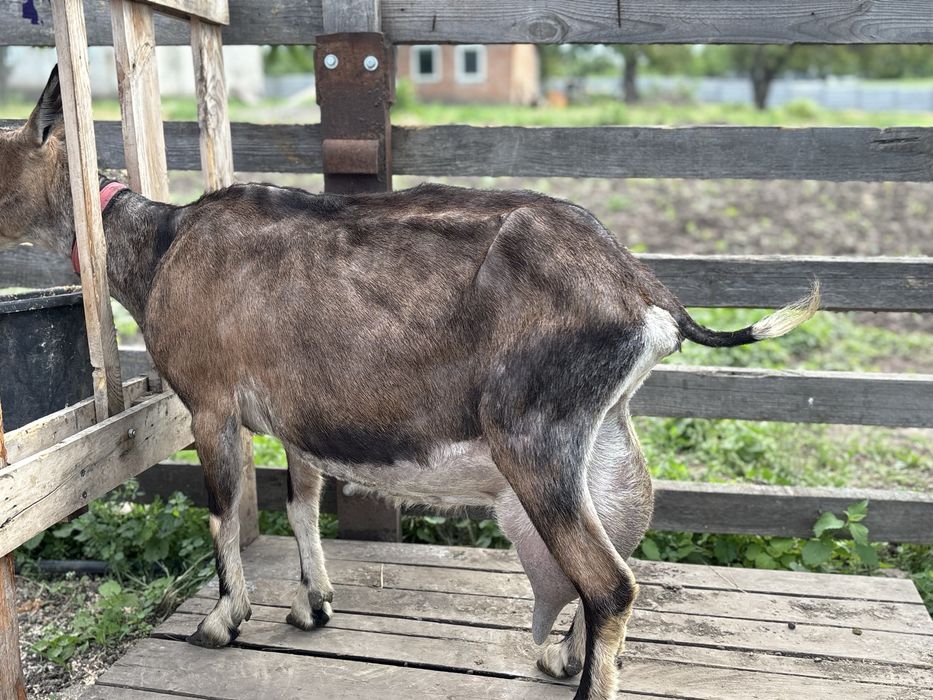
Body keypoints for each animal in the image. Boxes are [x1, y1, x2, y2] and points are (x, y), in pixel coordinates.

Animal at [1, 68, 819, 700]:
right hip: (603, 434)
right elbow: (301, 503)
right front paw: (313, 607)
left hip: (530, 435)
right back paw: (561, 658)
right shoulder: (296, 417)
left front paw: (222, 621)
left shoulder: (209, 404)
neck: (161, 248)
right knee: (611, 549)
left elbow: (222, 516)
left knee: (608, 581)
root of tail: (646, 291)